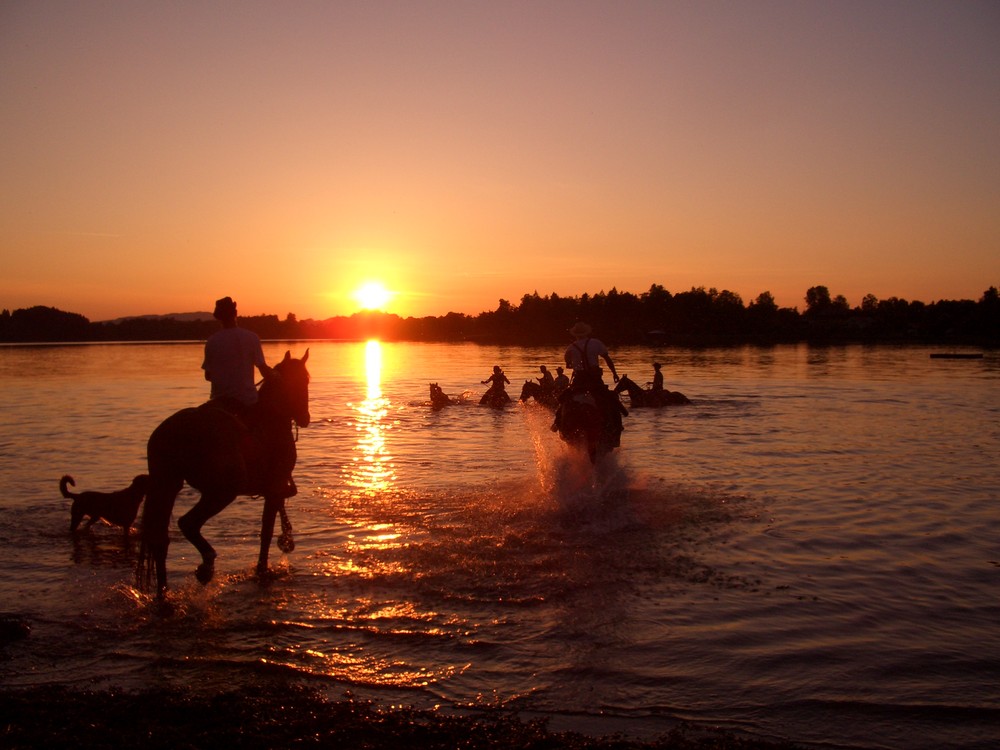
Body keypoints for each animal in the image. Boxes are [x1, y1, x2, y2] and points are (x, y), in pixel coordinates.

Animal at [137, 352, 308, 600]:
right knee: (188, 522)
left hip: (167, 484)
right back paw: (206, 567)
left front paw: (286, 540)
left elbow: (279, 510)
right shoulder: (275, 485)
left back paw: (163, 593)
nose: (305, 418)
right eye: (304, 380)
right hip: (222, 491)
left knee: (160, 539)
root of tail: (182, 428)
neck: (272, 417)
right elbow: (266, 530)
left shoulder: (273, 487)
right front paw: (267, 563)